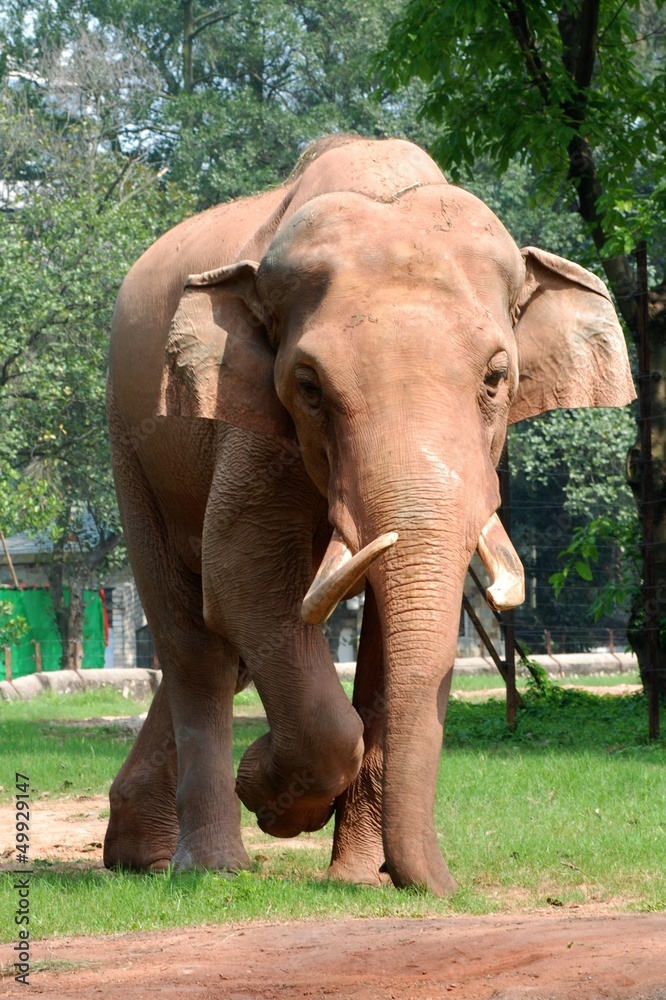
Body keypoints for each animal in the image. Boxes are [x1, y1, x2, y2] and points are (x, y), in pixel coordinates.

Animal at [103, 134, 635, 895]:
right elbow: (242, 572)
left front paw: (358, 878)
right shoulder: (249, 420)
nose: (445, 888)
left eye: (496, 378)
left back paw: (139, 855)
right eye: (308, 386)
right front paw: (271, 793)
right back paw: (209, 868)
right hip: (130, 443)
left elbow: (390, 641)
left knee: (221, 651)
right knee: (192, 642)